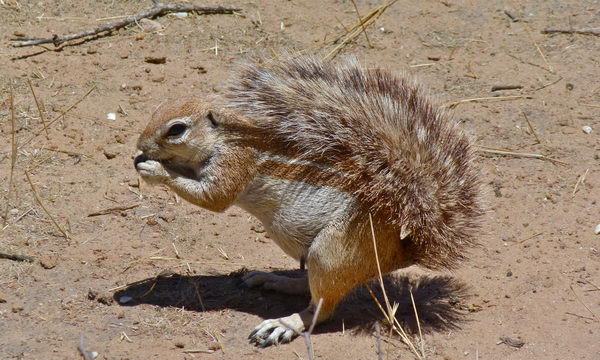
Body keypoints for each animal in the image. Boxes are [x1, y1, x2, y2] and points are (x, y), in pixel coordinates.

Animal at [135, 55, 482, 346]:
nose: (140, 146)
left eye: (177, 129)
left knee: (322, 307)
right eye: (155, 111)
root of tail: (397, 253)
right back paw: (275, 280)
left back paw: (284, 324)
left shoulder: (236, 163)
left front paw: (155, 169)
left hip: (333, 252)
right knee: (310, 286)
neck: (228, 136)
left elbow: (214, 198)